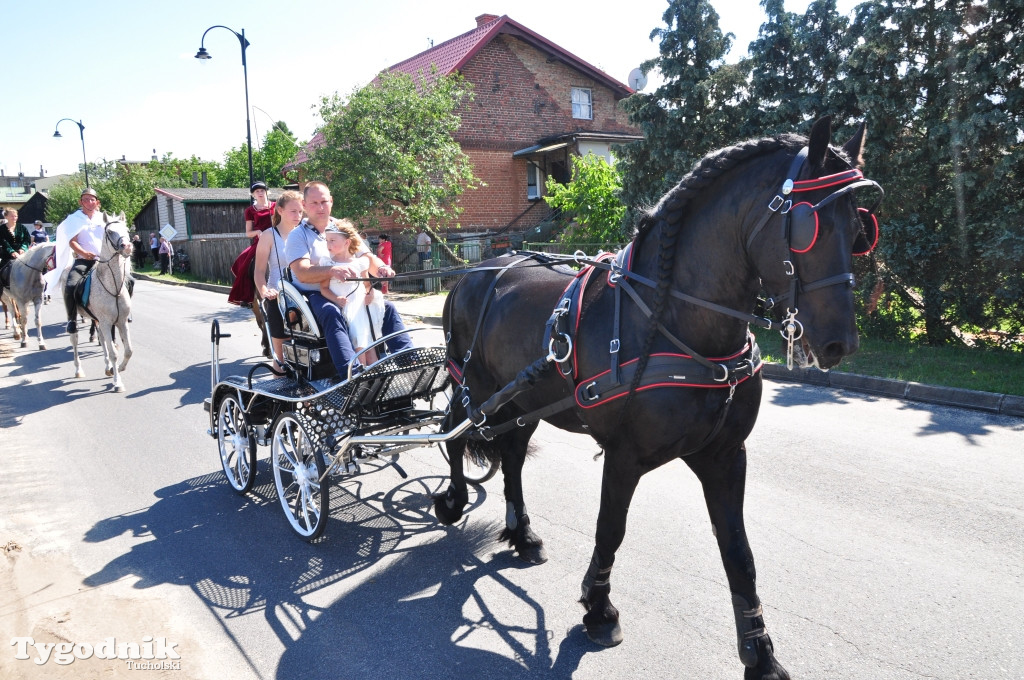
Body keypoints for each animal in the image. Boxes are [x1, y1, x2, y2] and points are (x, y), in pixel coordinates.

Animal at [59, 213, 133, 393]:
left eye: (127, 229)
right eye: (110, 232)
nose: (127, 246)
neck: (113, 287)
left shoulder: (121, 322)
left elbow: (128, 350)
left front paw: (117, 369)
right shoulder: (106, 322)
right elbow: (114, 353)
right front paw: (117, 382)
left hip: (98, 320)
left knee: (101, 338)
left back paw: (107, 367)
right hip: (74, 317)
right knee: (74, 339)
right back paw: (78, 370)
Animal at [432, 118, 880, 680]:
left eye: (860, 228)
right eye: (807, 226)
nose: (842, 343)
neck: (676, 321)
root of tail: (477, 271)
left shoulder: (724, 456)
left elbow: (739, 553)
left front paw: (760, 651)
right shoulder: (624, 456)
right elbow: (610, 529)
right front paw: (599, 609)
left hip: (522, 403)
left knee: (511, 456)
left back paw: (523, 534)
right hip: (479, 389)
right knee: (456, 432)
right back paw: (453, 498)